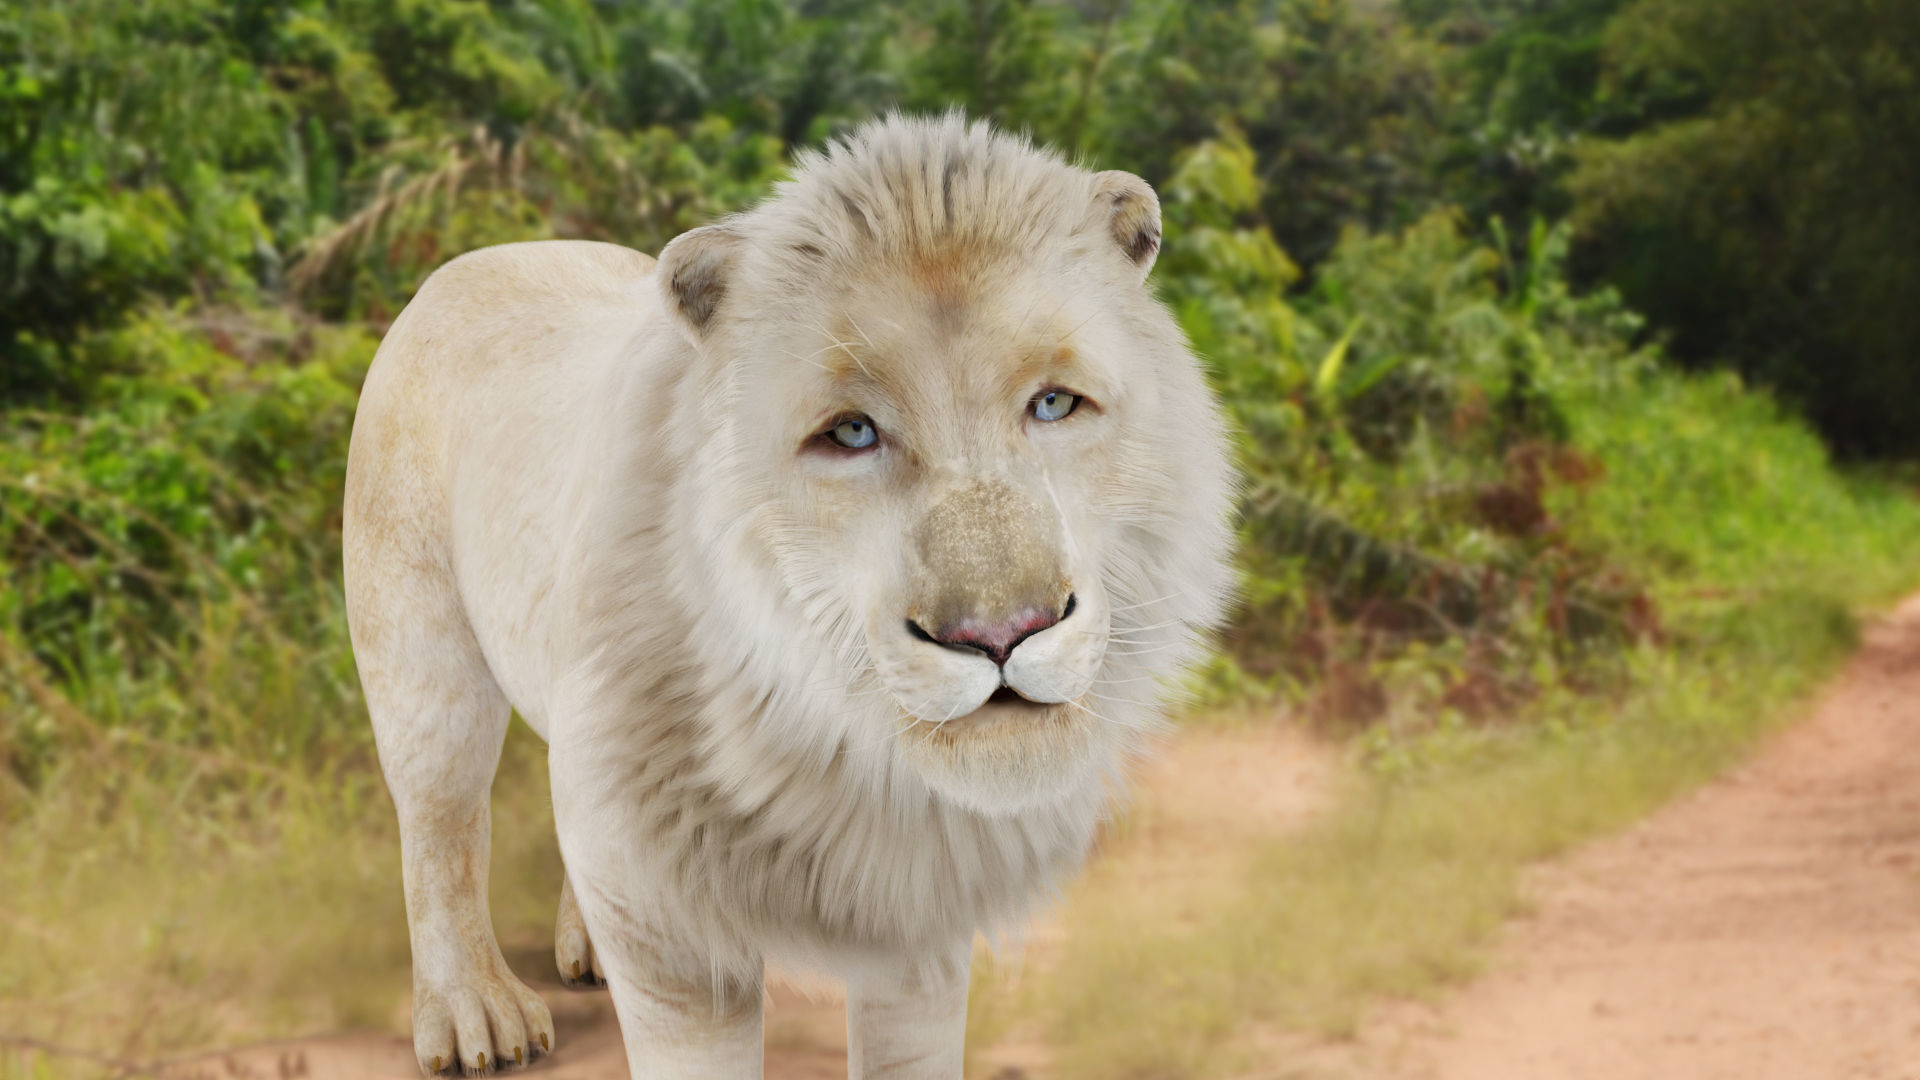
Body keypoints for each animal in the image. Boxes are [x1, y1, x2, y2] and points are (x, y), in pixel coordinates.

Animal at [342, 113, 1235, 1077]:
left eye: (1054, 404)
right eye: (851, 432)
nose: (1003, 633)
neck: (838, 759)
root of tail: (477, 258)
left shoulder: (920, 921)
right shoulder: (669, 933)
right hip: (421, 656)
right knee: (440, 819)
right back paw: (476, 1017)